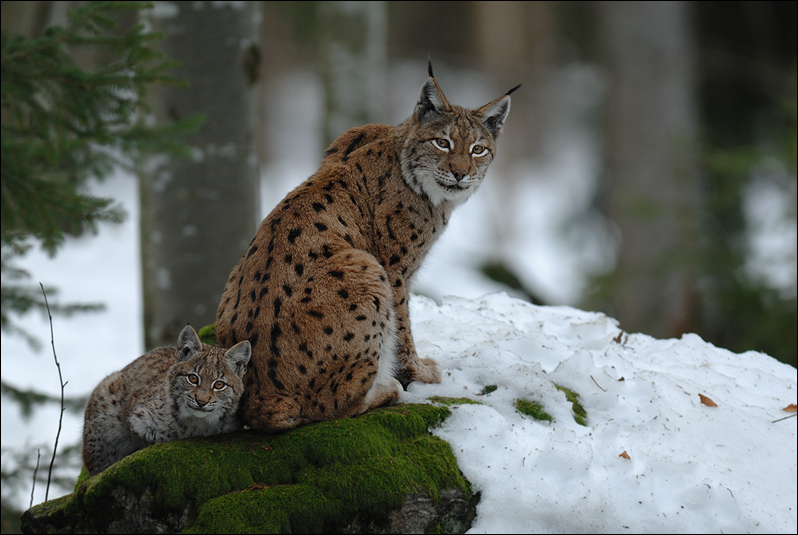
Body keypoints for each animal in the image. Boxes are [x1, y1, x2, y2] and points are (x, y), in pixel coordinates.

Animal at [81, 324, 250, 476]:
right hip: (107, 393)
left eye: (219, 385)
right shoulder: (135, 414)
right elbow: (159, 435)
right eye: (193, 378)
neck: (198, 421)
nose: (201, 402)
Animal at [217, 62, 520, 434]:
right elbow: (403, 327)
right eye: (442, 143)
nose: (460, 174)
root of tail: (259, 396)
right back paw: (386, 387)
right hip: (364, 267)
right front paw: (417, 374)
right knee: (328, 405)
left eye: (478, 149)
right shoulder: (395, 268)